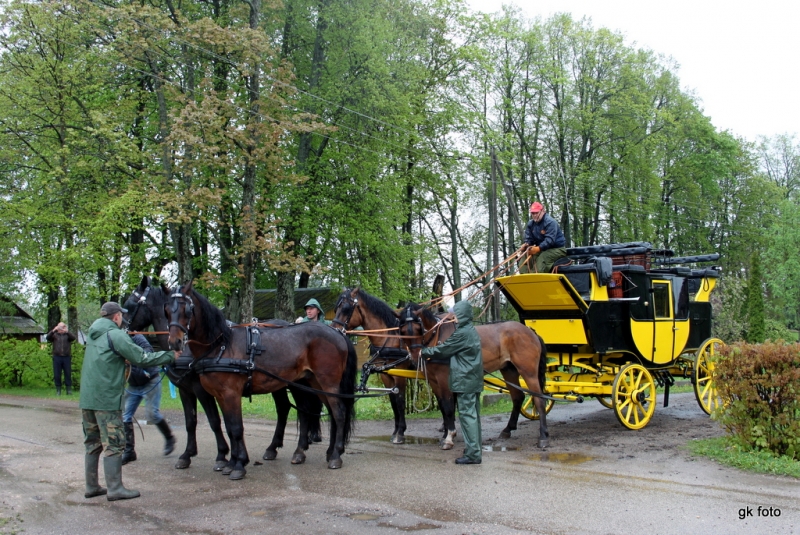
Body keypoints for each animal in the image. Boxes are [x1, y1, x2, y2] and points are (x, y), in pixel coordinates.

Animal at [123, 277, 322, 472]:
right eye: (166, 310)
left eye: (130, 305)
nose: (175, 343)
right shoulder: (185, 390)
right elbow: (192, 422)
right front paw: (188, 455)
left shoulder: (202, 390)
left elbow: (215, 421)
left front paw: (222, 456)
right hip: (278, 384)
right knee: (284, 408)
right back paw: (273, 448)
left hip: (295, 383)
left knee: (303, 410)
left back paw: (299, 450)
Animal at [166, 281, 357, 478]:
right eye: (167, 310)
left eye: (187, 310)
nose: (175, 342)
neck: (221, 346)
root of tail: (338, 333)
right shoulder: (218, 395)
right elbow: (227, 426)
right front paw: (231, 462)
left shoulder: (228, 394)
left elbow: (236, 428)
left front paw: (239, 464)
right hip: (313, 383)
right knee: (326, 412)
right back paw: (321, 451)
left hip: (328, 383)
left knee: (339, 413)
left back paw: (336, 455)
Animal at [331, 288, 458, 449]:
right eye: (336, 308)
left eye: (346, 309)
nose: (334, 330)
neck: (389, 338)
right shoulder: (386, 375)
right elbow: (393, 403)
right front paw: (396, 431)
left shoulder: (399, 375)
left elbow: (400, 402)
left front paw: (400, 433)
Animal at [401, 302, 551, 448]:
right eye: (402, 331)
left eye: (419, 328)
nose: (415, 356)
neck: (437, 336)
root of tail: (531, 332)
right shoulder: (433, 381)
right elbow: (443, 406)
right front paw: (445, 434)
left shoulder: (444, 379)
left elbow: (448, 407)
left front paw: (449, 437)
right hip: (509, 370)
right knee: (518, 397)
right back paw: (508, 429)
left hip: (528, 372)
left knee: (539, 399)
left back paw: (543, 436)